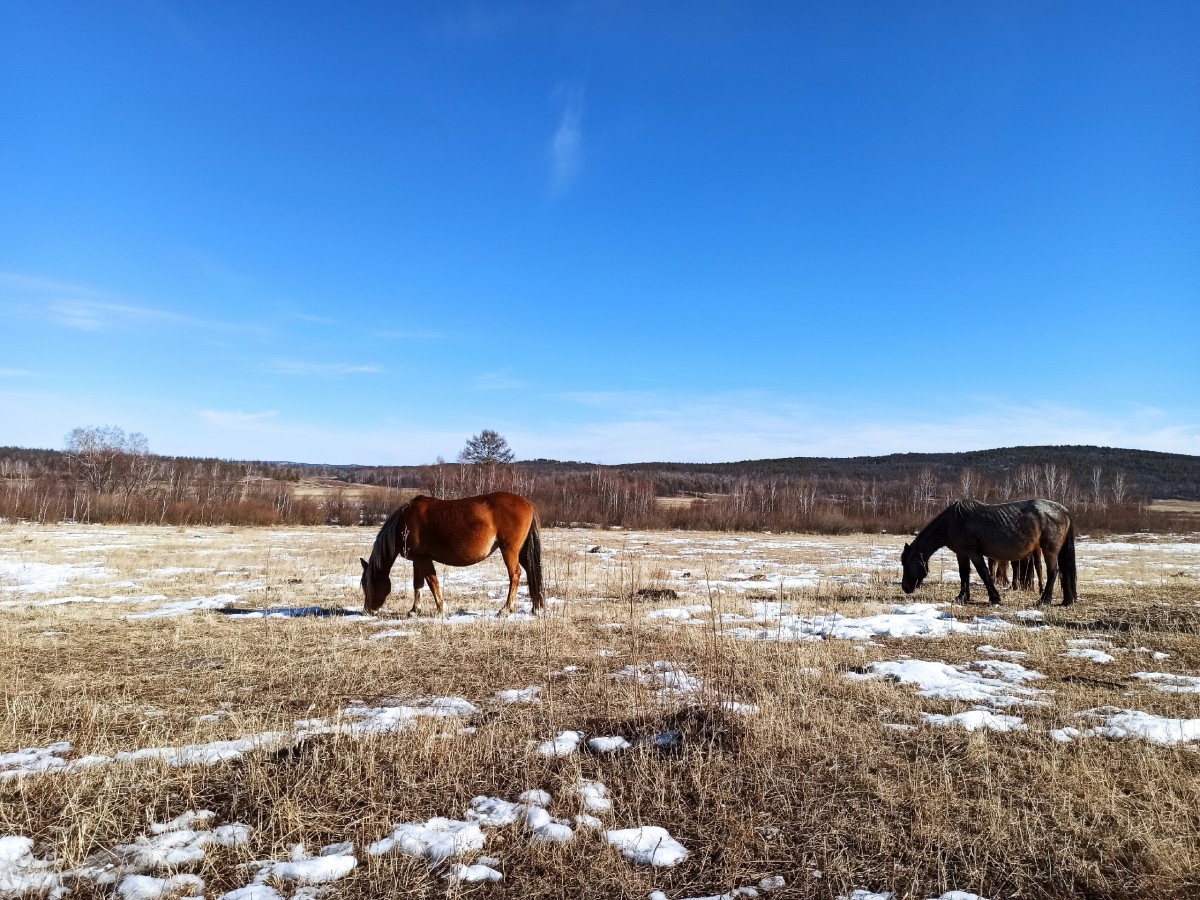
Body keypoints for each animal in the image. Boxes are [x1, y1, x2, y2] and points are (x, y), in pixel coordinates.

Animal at [355, 494, 544, 619]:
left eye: (366, 583)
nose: (368, 610)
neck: (403, 523)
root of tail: (527, 503)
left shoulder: (423, 559)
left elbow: (432, 582)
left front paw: (441, 608)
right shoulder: (417, 560)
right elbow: (418, 585)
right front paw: (414, 610)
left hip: (509, 550)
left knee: (515, 575)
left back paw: (505, 609)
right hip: (522, 552)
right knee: (531, 572)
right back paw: (536, 608)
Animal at [902, 496, 1080, 609]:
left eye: (905, 563)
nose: (905, 588)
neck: (951, 521)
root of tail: (1063, 510)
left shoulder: (974, 553)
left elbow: (984, 573)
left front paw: (995, 598)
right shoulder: (962, 553)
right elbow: (963, 573)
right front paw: (962, 597)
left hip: (1049, 549)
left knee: (1053, 571)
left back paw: (1044, 600)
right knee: (1063, 572)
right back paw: (1067, 601)